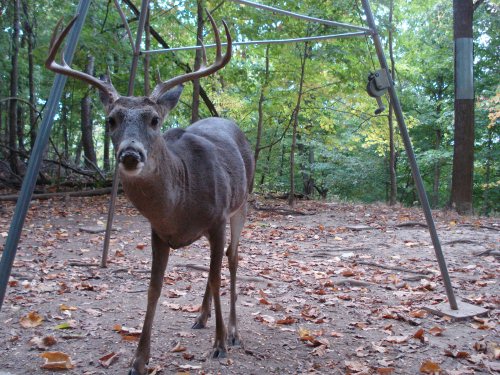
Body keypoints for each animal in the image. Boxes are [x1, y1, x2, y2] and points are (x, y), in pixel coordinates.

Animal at [46, 11, 254, 375]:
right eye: (111, 119)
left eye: (155, 119)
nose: (130, 154)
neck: (179, 205)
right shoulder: (158, 231)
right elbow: (154, 288)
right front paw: (139, 359)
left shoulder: (217, 219)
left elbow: (216, 275)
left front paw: (219, 344)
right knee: (214, 267)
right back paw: (201, 317)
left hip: (241, 203)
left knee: (231, 259)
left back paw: (232, 331)